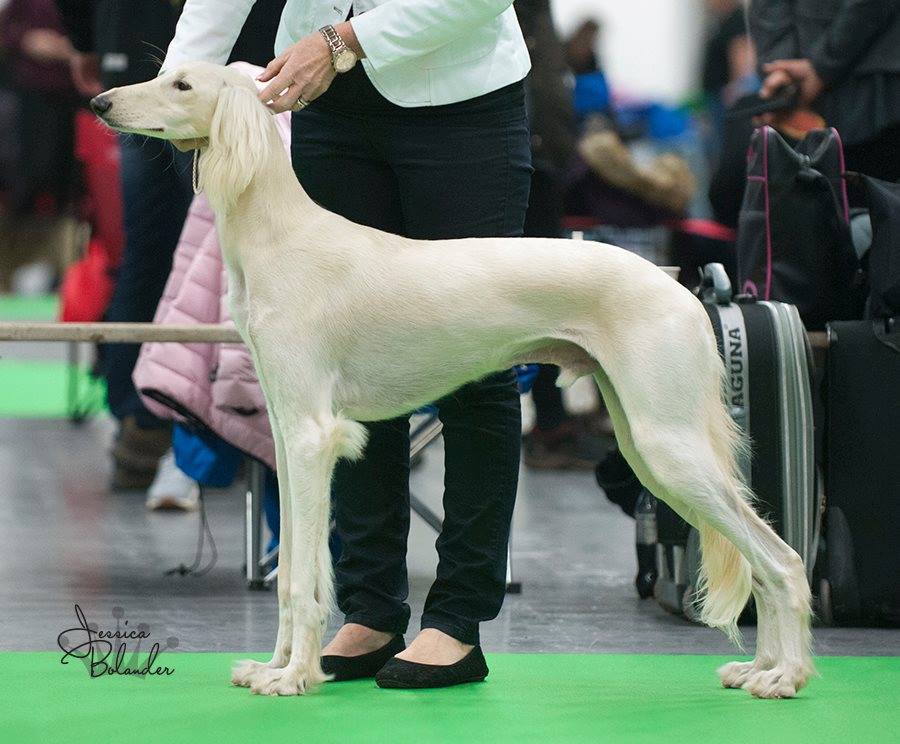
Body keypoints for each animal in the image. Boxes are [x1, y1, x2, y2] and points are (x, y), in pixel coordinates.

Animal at [93, 64, 816, 696]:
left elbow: (302, 581)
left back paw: (785, 676)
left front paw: (294, 679)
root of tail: (682, 291)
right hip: (646, 448)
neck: (282, 235)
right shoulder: (287, 434)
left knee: (781, 560)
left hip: (668, 444)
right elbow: (292, 570)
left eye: (182, 85)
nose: (100, 102)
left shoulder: (311, 437)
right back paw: (762, 669)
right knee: (761, 561)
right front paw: (274, 668)